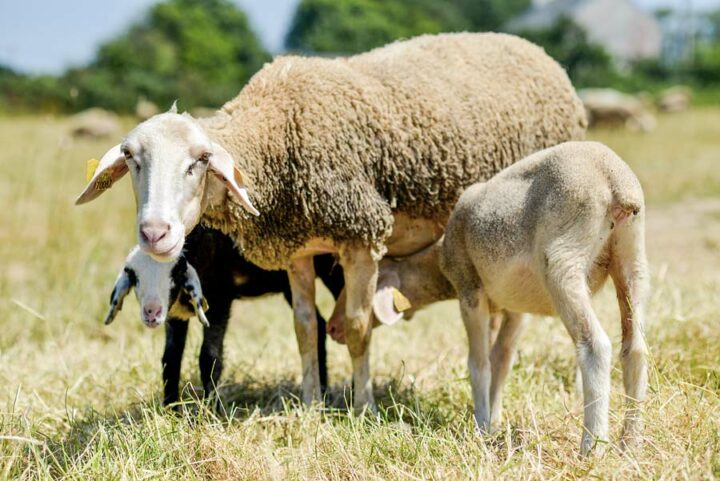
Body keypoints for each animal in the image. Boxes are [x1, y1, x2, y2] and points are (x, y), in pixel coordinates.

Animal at [76, 31, 588, 410]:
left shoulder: (361, 235)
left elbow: (359, 327)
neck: (277, 135)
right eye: (131, 159)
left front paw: (364, 408)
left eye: (199, 161)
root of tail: (540, 54)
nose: (155, 233)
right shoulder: (298, 249)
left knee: (513, 318)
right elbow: (306, 327)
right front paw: (310, 406)